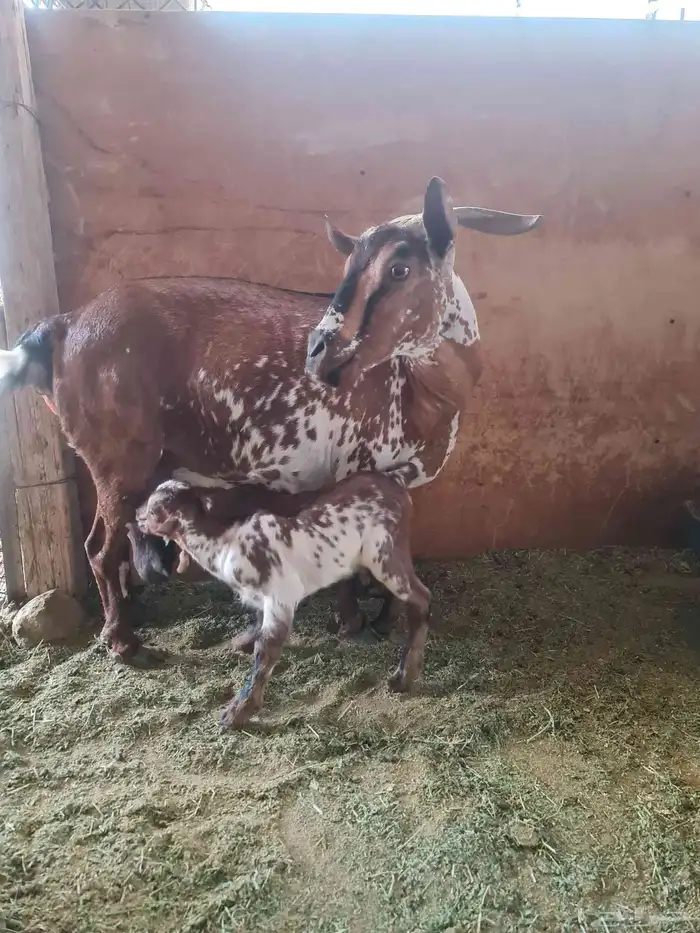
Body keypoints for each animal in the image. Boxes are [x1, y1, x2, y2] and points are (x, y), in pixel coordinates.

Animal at [0, 177, 540, 666]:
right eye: (349, 268)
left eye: (399, 268)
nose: (319, 351)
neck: (418, 388)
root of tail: (63, 326)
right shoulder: (353, 463)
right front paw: (353, 622)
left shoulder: (399, 476)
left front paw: (383, 611)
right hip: (115, 459)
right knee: (98, 547)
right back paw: (123, 640)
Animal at [136, 476, 430, 728]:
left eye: (153, 508)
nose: (137, 514)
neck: (225, 545)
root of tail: (399, 489)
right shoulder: (262, 600)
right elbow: (257, 629)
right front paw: (241, 643)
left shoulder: (281, 598)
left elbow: (265, 651)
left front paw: (237, 713)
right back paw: (384, 628)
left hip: (385, 553)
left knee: (421, 598)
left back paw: (403, 677)